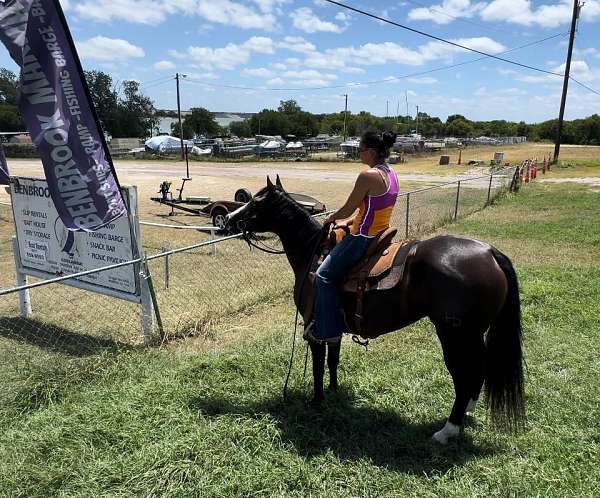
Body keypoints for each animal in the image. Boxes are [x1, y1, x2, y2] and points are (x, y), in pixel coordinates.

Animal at [227, 178, 524, 444]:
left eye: (256, 201)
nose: (228, 219)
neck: (312, 253)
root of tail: (490, 253)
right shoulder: (333, 327)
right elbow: (333, 361)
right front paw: (334, 391)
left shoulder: (316, 327)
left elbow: (318, 367)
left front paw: (317, 400)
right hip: (474, 336)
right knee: (478, 370)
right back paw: (467, 413)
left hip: (456, 337)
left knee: (464, 375)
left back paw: (448, 430)